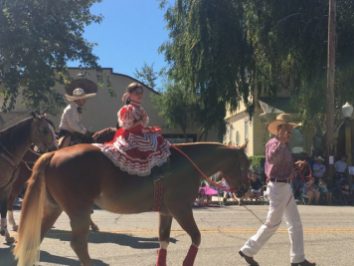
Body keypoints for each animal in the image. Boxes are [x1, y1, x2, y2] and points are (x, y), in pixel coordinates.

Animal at [15, 142, 250, 264]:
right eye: (244, 164)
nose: (244, 190)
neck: (185, 166)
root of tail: (53, 153)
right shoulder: (181, 209)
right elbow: (196, 237)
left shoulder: (166, 213)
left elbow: (163, 242)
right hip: (79, 212)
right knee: (79, 245)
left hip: (54, 209)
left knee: (35, 240)